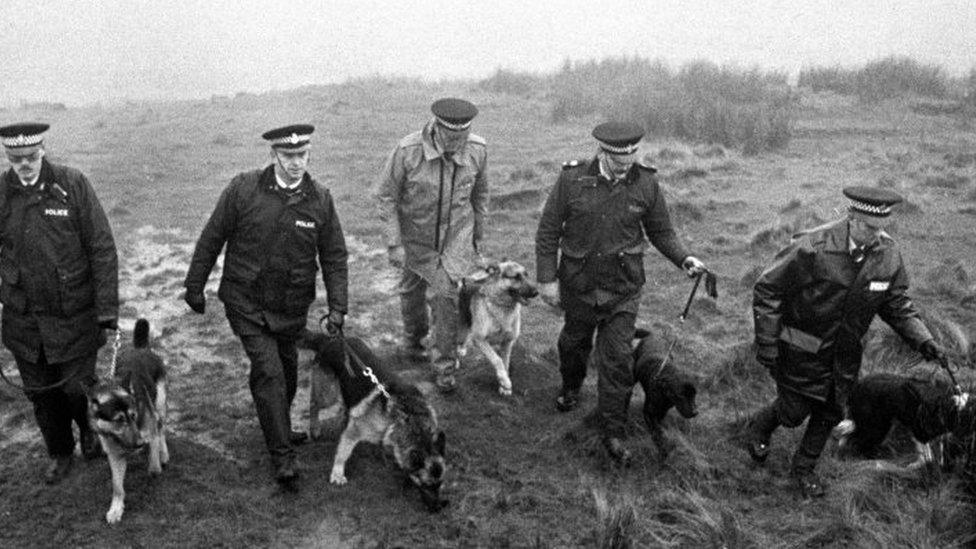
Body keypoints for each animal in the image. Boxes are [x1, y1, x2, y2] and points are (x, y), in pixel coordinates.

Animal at [87, 318, 168, 524]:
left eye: (133, 415)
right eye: (118, 420)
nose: (139, 443)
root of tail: (140, 348)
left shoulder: (149, 433)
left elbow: (153, 467)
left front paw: (155, 466)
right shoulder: (114, 456)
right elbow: (117, 487)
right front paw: (116, 509)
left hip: (160, 404)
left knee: (161, 427)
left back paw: (163, 453)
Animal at [300, 332, 448, 512]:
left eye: (440, 484)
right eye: (427, 484)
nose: (439, 507)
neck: (411, 419)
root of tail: (331, 339)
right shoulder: (354, 432)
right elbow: (343, 452)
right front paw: (337, 473)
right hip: (328, 395)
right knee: (313, 404)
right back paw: (314, 427)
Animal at [460, 260, 540, 394]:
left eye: (526, 275)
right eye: (516, 277)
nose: (536, 293)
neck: (502, 305)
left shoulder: (508, 342)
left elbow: (505, 362)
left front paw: (503, 385)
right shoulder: (480, 340)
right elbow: (497, 360)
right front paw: (505, 382)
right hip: (463, 320)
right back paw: (460, 350)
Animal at [832, 372, 968, 466]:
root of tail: (855, 389)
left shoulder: (938, 435)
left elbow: (938, 453)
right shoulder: (919, 429)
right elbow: (926, 454)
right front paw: (920, 464)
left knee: (848, 434)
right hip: (876, 425)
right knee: (855, 440)